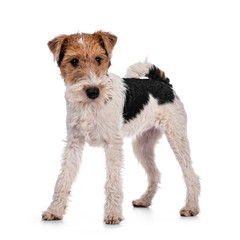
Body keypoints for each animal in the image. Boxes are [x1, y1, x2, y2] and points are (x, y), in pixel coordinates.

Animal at [41, 31, 201, 224]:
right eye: (73, 61)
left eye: (98, 59)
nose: (93, 91)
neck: (90, 106)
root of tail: (163, 83)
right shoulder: (74, 143)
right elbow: (63, 178)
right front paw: (54, 211)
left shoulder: (113, 144)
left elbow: (113, 181)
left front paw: (113, 214)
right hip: (142, 145)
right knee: (155, 174)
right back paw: (144, 200)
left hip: (177, 137)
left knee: (191, 174)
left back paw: (191, 208)